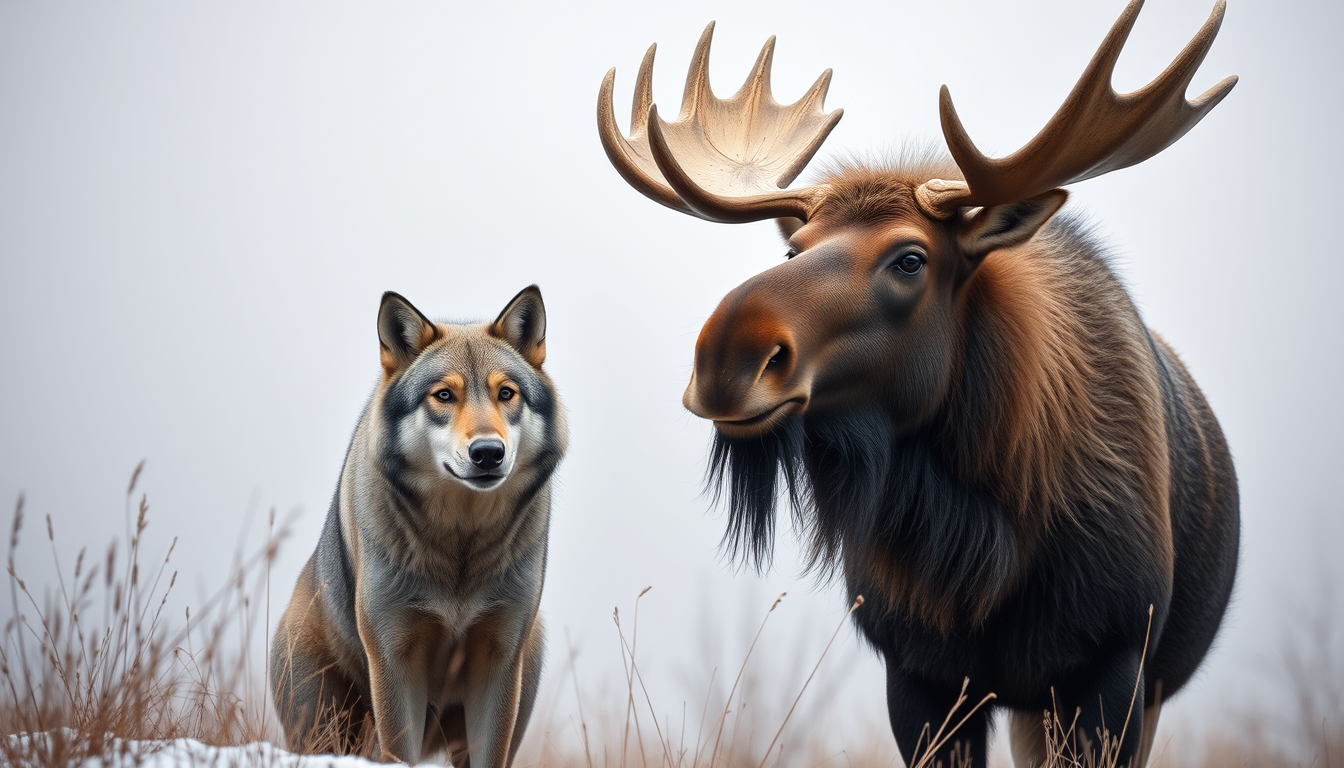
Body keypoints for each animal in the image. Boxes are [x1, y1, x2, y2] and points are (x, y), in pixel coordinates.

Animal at [270, 286, 567, 767]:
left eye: (506, 393)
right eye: (443, 395)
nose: (488, 452)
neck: (460, 546)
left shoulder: (499, 659)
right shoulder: (395, 660)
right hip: (324, 728)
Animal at [596, 2, 1239, 766]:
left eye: (910, 258)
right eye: (794, 248)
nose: (727, 355)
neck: (989, 537)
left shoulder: (1112, 662)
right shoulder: (916, 673)